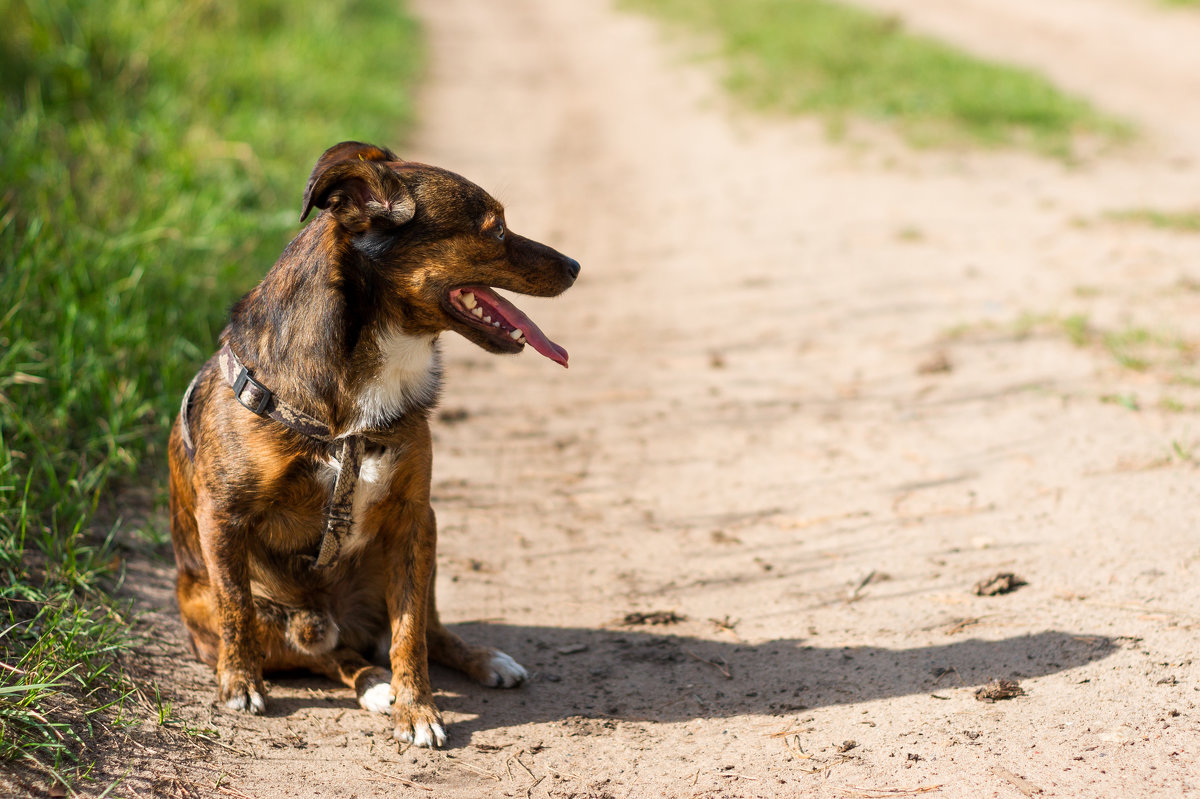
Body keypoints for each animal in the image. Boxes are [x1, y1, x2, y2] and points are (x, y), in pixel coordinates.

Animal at [170, 139, 580, 743]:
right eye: (497, 229)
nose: (575, 267)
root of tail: (347, 622)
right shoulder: (224, 515)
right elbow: (237, 607)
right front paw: (239, 684)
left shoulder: (413, 517)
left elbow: (410, 633)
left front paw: (419, 709)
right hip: (248, 611)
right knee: (325, 652)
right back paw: (371, 684)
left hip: (423, 548)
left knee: (422, 629)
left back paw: (480, 659)